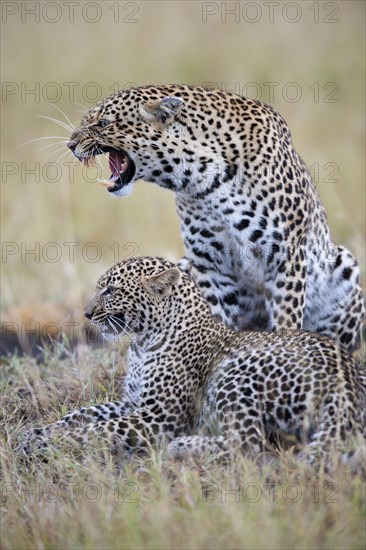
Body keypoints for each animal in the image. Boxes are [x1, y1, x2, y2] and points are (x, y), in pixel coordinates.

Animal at [17, 258, 366, 470]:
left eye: (111, 290)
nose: (87, 314)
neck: (141, 344)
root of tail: (344, 376)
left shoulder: (158, 417)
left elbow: (98, 429)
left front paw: (45, 443)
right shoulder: (133, 402)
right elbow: (84, 414)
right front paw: (38, 432)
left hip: (234, 373)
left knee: (247, 444)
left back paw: (182, 446)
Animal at [67, 86, 364, 354]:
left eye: (103, 123)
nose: (70, 145)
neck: (202, 179)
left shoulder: (285, 255)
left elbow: (287, 319)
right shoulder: (209, 263)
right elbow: (217, 319)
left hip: (343, 264)